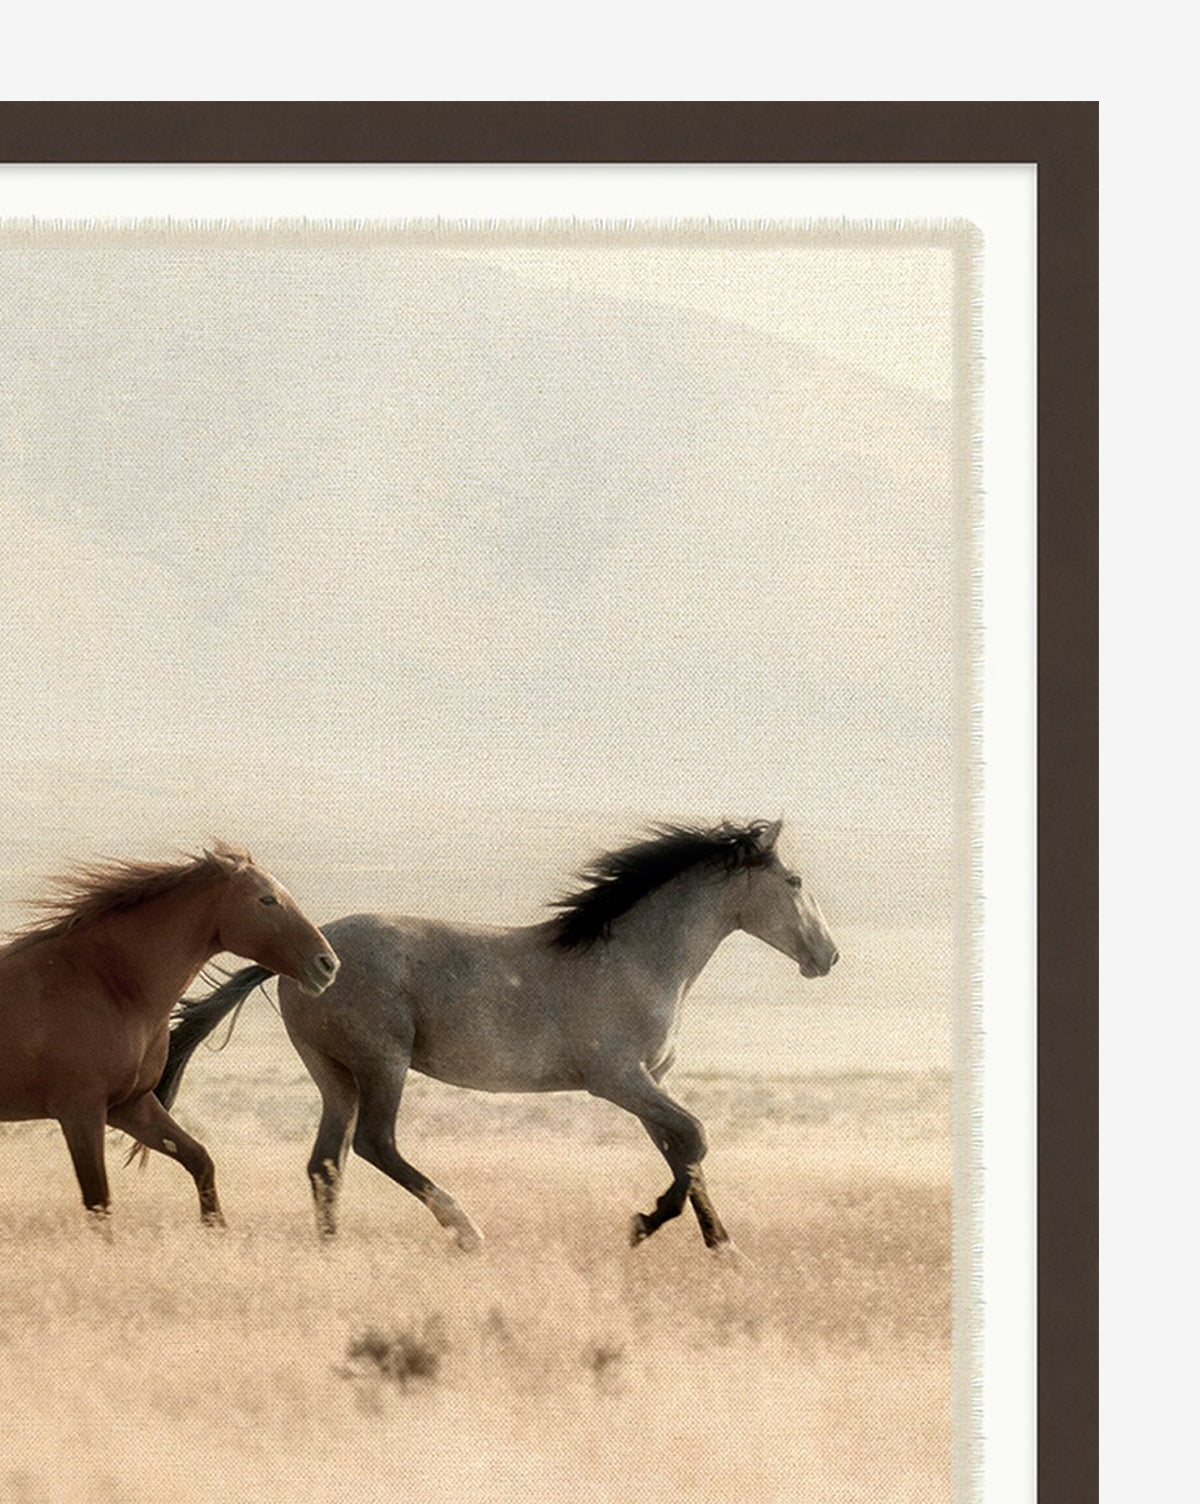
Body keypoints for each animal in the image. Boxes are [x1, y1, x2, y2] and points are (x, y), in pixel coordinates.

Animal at [0, 842, 339, 1226]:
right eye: (267, 899)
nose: (328, 964)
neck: (108, 982)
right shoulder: (80, 1112)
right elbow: (99, 1201)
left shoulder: (131, 1105)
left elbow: (199, 1160)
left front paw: (217, 1231)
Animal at [157, 819, 838, 1252]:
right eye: (796, 882)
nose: (828, 956)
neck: (638, 959)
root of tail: (305, 959)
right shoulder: (619, 1080)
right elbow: (694, 1140)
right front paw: (644, 1225)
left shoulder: (649, 1084)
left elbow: (684, 1154)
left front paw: (723, 1249)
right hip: (382, 1063)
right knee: (376, 1143)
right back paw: (465, 1230)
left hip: (335, 1074)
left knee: (327, 1161)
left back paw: (332, 1250)